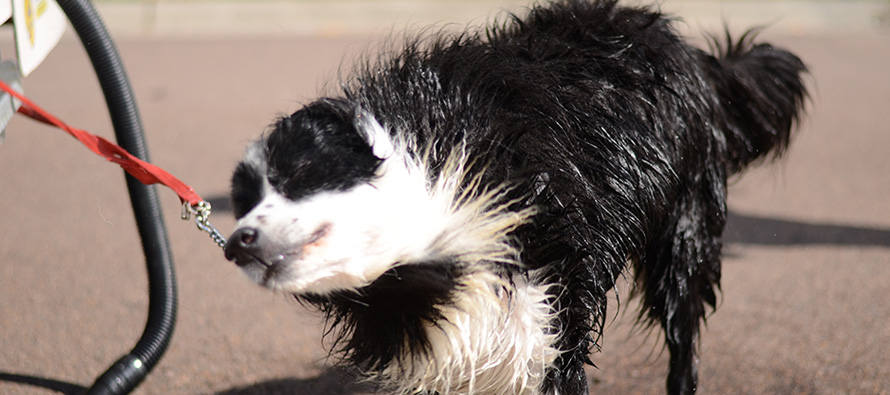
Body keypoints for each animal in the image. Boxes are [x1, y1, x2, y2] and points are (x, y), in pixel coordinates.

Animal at [222, 1, 804, 394]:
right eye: (242, 199)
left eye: (300, 175)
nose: (236, 243)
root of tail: (693, 54)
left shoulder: (553, 296)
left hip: (682, 237)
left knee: (683, 334)